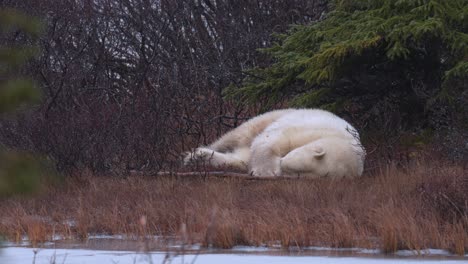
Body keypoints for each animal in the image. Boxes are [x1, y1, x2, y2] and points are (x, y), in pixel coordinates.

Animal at [184, 108, 366, 178]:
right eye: (293, 163)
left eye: (294, 174)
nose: (280, 163)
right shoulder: (313, 130)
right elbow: (273, 139)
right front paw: (265, 171)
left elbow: (246, 158)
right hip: (275, 115)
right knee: (238, 135)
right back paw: (193, 155)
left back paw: (200, 157)